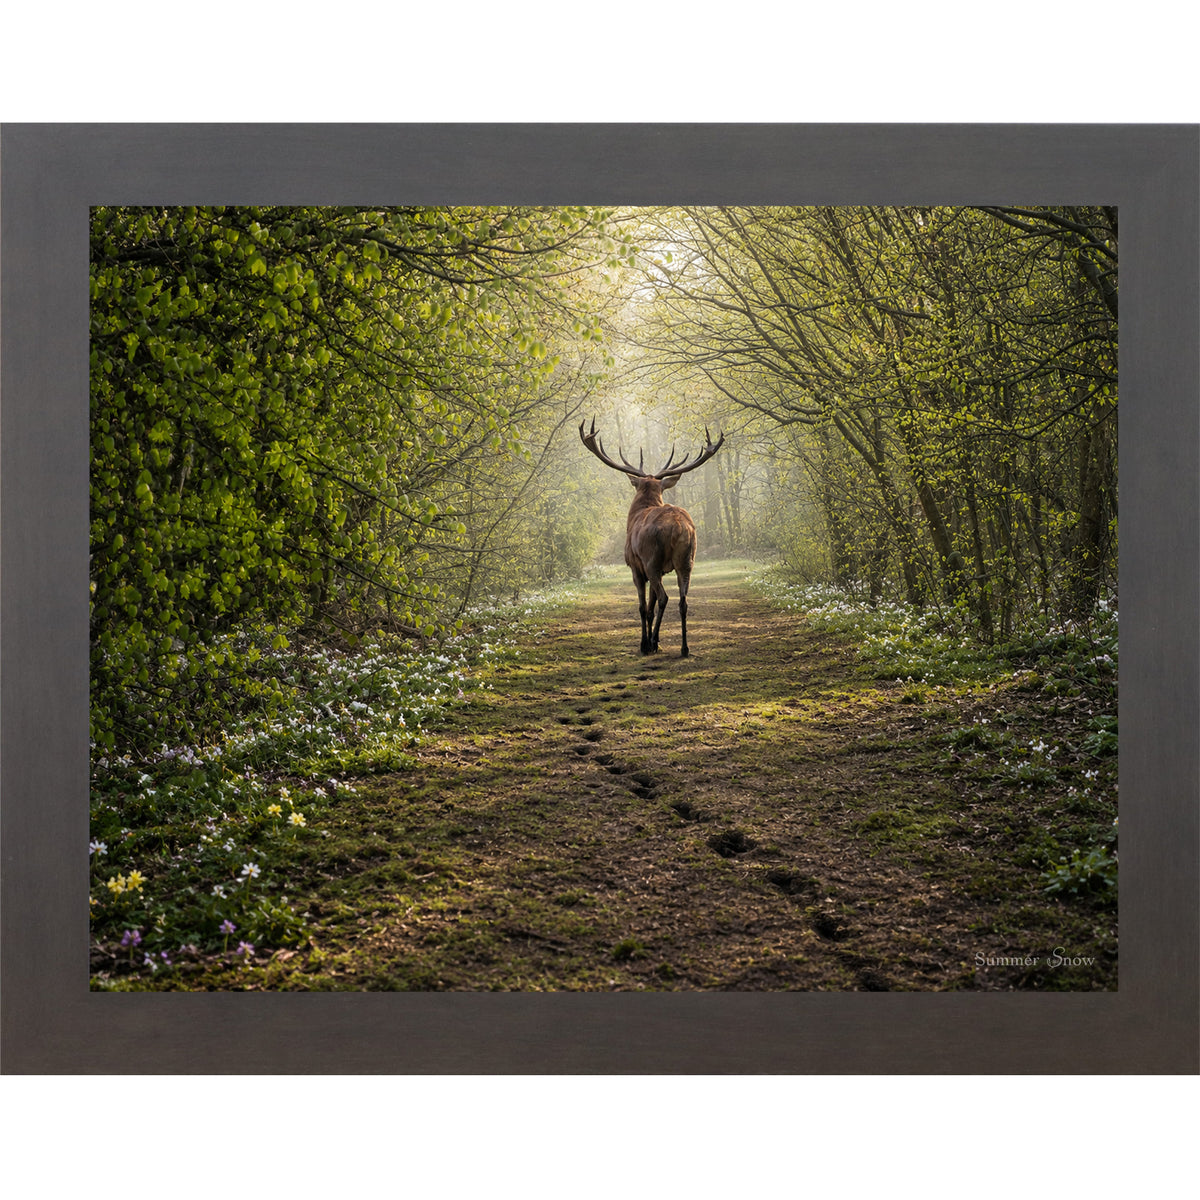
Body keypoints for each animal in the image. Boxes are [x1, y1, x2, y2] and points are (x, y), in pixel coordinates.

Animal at [580, 417, 724, 658]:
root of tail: (679, 527)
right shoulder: (661, 570)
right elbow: (650, 606)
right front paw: (652, 642)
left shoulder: (636, 567)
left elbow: (643, 607)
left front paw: (645, 644)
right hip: (687, 560)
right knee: (683, 601)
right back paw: (684, 648)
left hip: (652, 560)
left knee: (665, 598)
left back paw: (655, 642)